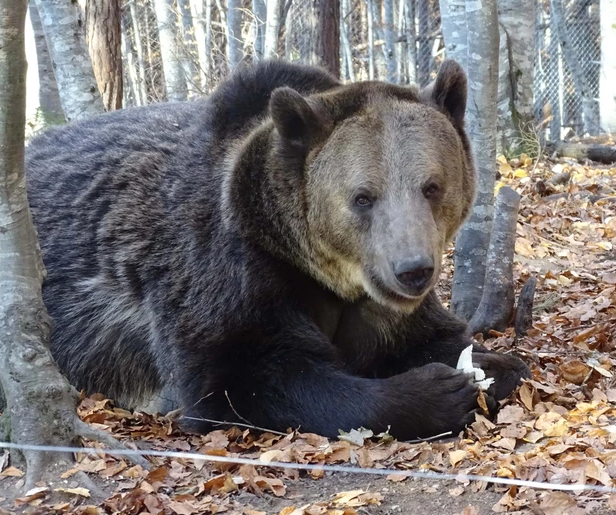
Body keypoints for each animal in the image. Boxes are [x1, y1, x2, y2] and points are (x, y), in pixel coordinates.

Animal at [25, 59, 528, 440]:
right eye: (363, 197)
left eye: (431, 186)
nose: (413, 270)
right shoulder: (228, 270)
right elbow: (243, 377)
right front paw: (434, 392)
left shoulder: (381, 309)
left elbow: (438, 339)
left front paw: (487, 366)